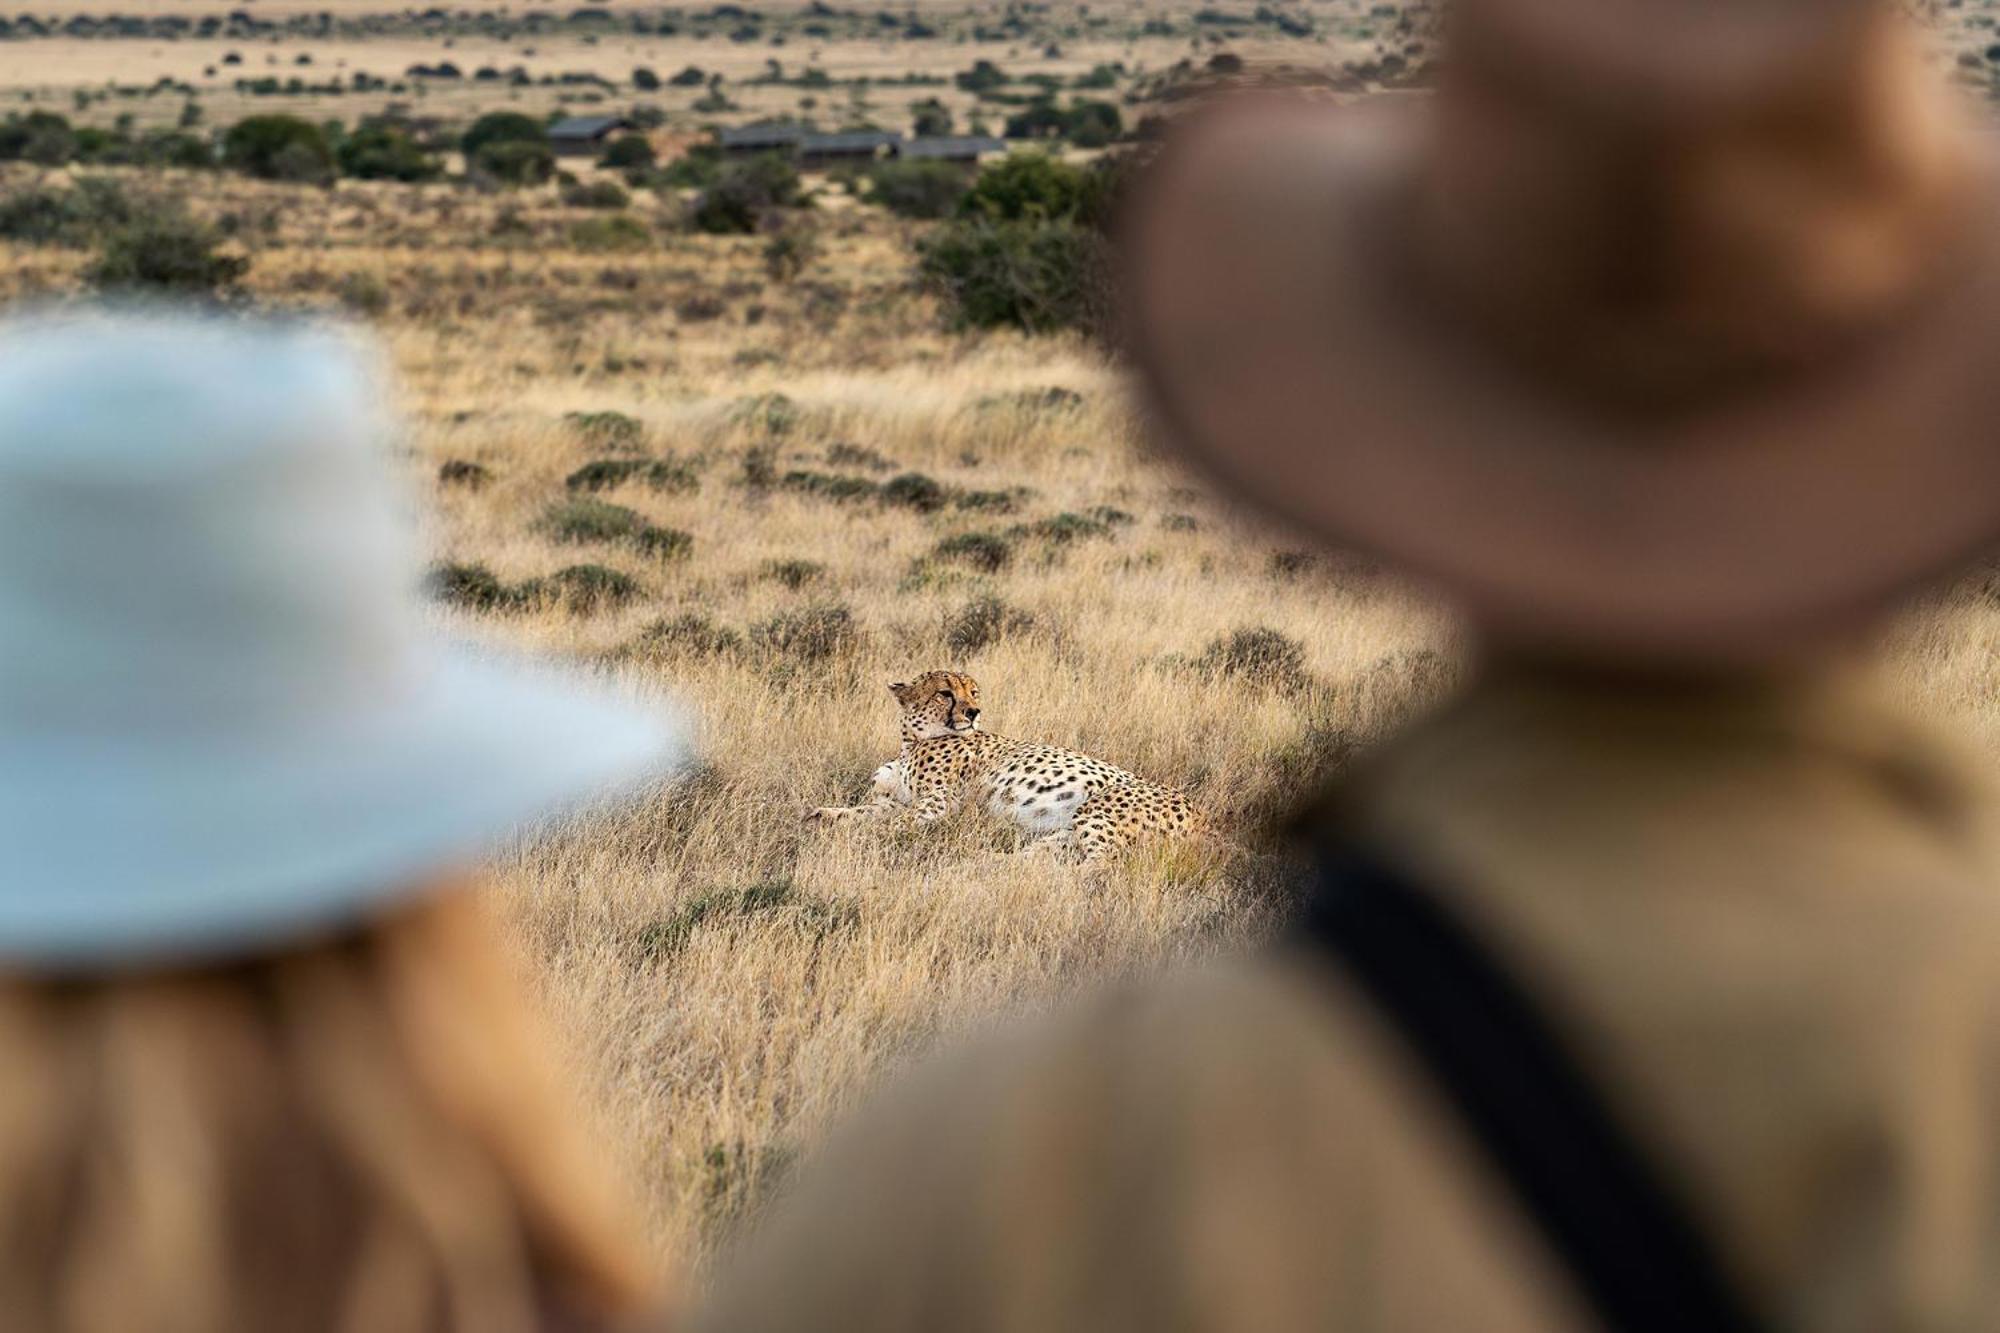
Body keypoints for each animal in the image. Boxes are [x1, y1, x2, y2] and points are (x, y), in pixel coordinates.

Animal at [804, 668, 1192, 856]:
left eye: (973, 692)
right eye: (945, 693)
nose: (974, 712)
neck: (912, 741)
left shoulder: (941, 802)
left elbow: (894, 823)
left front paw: (861, 838)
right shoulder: (897, 800)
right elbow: (865, 811)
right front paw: (822, 815)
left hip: (1099, 810)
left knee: (1101, 865)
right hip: (1068, 832)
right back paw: (993, 865)